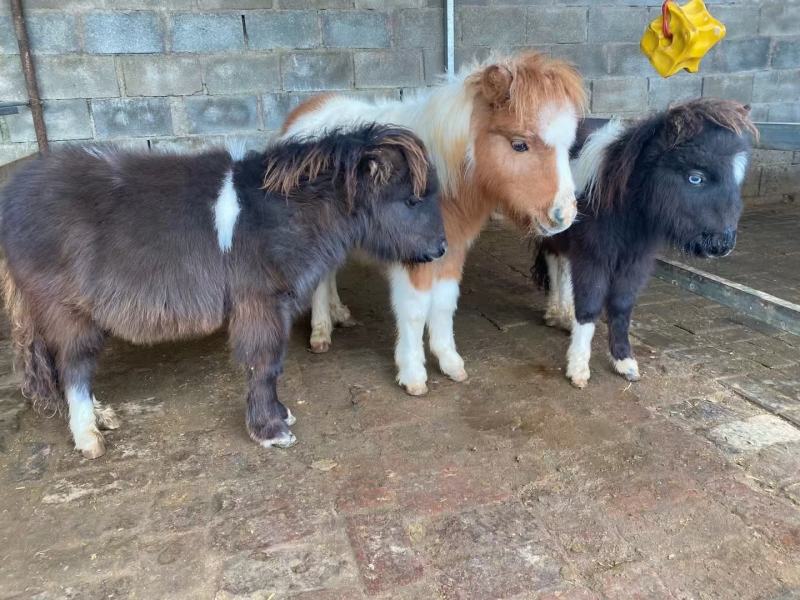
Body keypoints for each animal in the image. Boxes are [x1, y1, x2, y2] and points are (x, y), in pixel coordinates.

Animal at [0, 125, 446, 458]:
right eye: (411, 200)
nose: (440, 249)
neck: (280, 212)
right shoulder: (260, 304)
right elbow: (264, 365)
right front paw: (270, 430)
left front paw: (279, 415)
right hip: (66, 309)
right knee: (73, 366)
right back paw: (88, 437)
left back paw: (100, 415)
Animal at [282, 51, 586, 395]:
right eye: (519, 144)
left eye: (568, 145)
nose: (564, 216)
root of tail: (302, 113)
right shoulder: (414, 257)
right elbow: (414, 311)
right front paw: (413, 374)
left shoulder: (452, 252)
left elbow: (443, 304)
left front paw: (450, 362)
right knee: (319, 279)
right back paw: (320, 332)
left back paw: (338, 313)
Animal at [532, 98, 757, 388]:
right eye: (695, 177)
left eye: (738, 177)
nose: (722, 244)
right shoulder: (594, 257)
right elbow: (590, 306)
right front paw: (579, 369)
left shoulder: (634, 262)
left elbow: (621, 306)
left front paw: (624, 362)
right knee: (553, 263)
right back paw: (554, 312)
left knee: (564, 268)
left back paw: (565, 315)